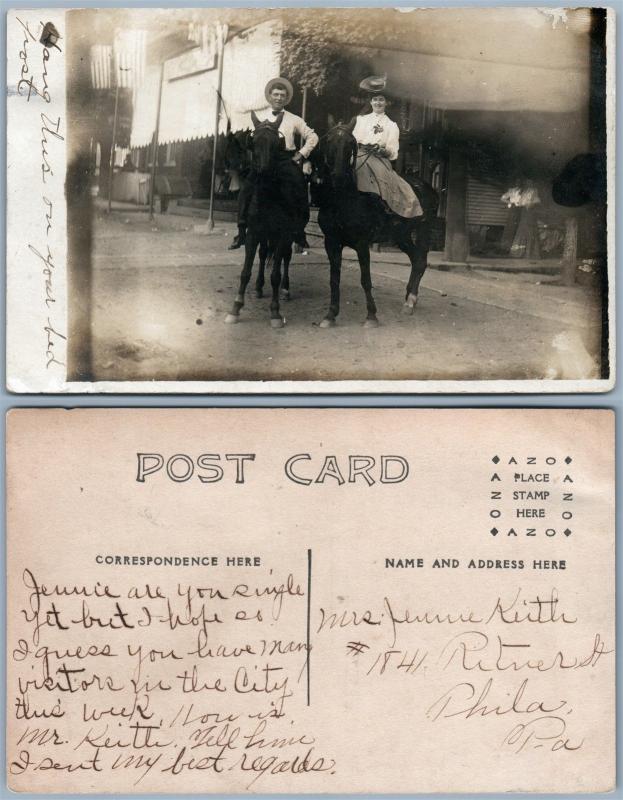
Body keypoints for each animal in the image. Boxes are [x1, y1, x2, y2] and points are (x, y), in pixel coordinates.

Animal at [227, 111, 298, 326]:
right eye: (254, 142)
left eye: (276, 144)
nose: (264, 172)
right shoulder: (253, 233)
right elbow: (245, 272)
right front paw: (236, 307)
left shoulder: (283, 234)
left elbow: (275, 274)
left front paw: (275, 312)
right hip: (264, 235)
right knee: (264, 253)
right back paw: (259, 287)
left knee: (285, 258)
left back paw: (285, 289)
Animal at [314, 118, 436, 328]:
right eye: (328, 141)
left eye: (350, 144)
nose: (338, 176)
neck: (344, 200)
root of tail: (428, 187)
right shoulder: (331, 242)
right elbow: (334, 279)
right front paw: (330, 315)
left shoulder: (362, 244)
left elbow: (366, 279)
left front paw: (371, 316)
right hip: (401, 236)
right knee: (415, 259)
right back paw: (409, 298)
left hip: (423, 230)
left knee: (420, 261)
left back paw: (410, 301)